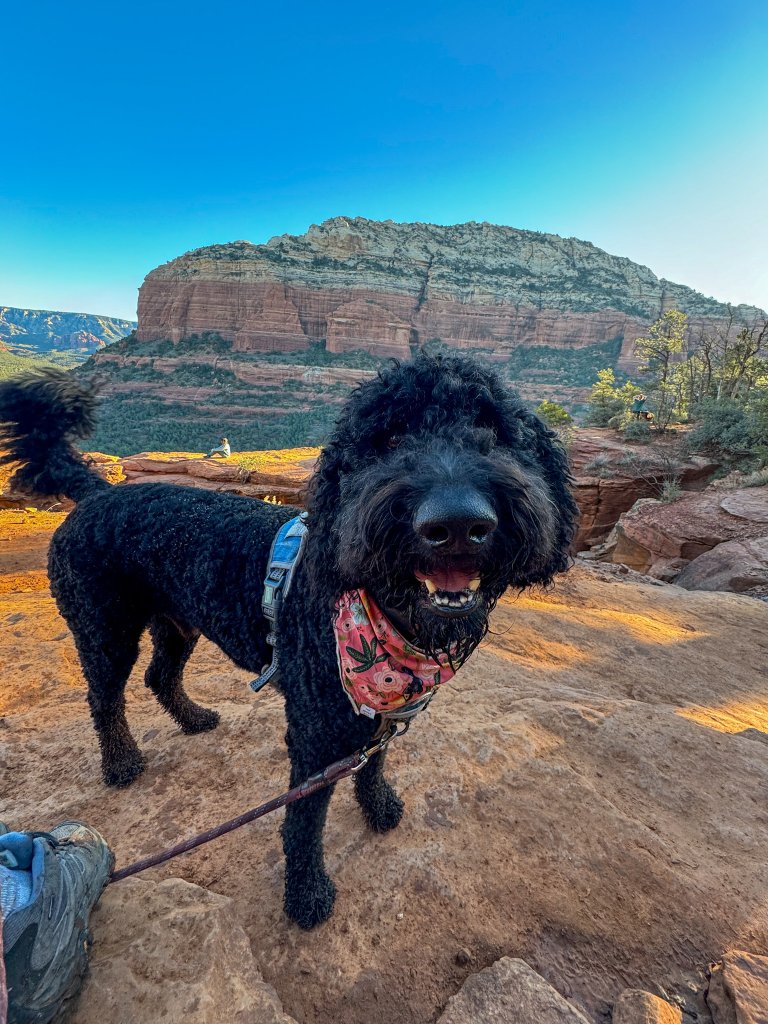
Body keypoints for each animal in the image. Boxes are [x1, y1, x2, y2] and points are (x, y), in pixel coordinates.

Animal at [0, 358, 577, 929]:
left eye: (495, 433)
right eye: (388, 439)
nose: (456, 521)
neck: (387, 621)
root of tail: (100, 492)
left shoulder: (380, 715)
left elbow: (374, 764)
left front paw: (379, 806)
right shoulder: (315, 735)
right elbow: (303, 821)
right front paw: (306, 894)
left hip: (177, 622)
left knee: (159, 676)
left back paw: (194, 718)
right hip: (105, 628)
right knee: (106, 696)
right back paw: (121, 763)